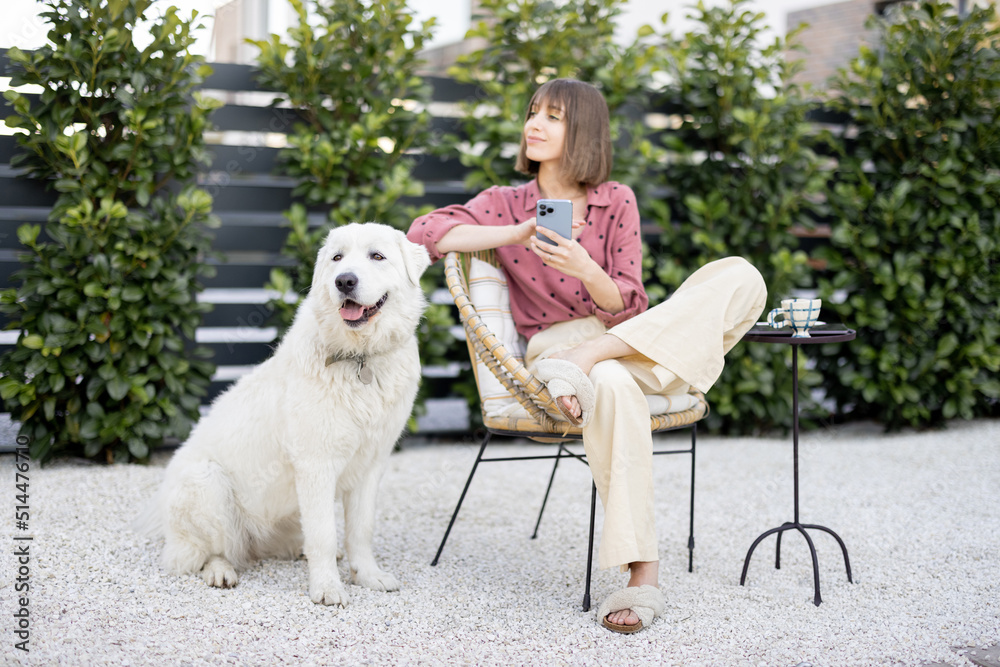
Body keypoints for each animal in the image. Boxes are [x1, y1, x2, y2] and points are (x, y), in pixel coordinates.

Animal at [137, 223, 430, 604]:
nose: (344, 281)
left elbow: (360, 531)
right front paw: (327, 588)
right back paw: (220, 571)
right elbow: (324, 535)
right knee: (202, 553)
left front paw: (368, 576)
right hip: (207, 483)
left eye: (377, 256)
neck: (360, 359)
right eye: (337, 258)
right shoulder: (316, 464)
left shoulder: (371, 465)